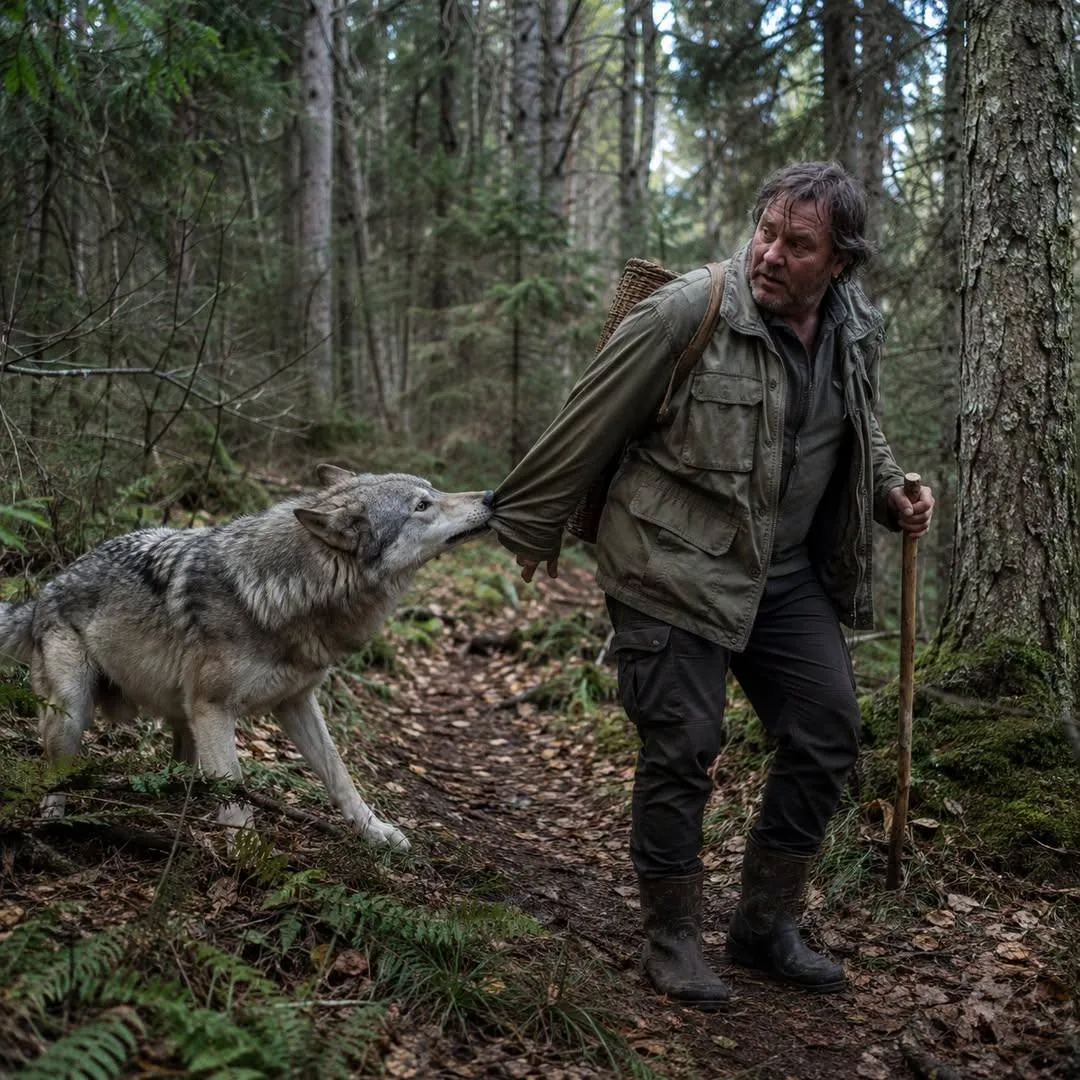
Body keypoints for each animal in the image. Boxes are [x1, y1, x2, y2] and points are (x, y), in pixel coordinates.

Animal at [0, 465, 494, 849]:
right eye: (422, 505)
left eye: (432, 491)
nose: (490, 496)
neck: (291, 591)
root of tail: (42, 591)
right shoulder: (215, 709)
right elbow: (238, 794)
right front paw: (248, 856)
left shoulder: (296, 702)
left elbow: (339, 776)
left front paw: (377, 832)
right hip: (73, 713)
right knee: (55, 776)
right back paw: (55, 821)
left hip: (180, 715)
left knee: (180, 767)